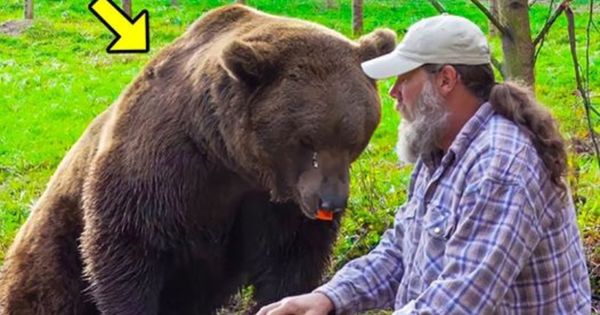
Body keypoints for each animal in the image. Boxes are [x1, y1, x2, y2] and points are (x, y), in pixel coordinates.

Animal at [0, 3, 394, 314]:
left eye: (355, 138)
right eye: (306, 140)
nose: (331, 202)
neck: (232, 157)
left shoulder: (273, 200)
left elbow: (291, 255)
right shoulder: (164, 169)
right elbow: (129, 247)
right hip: (53, 247)